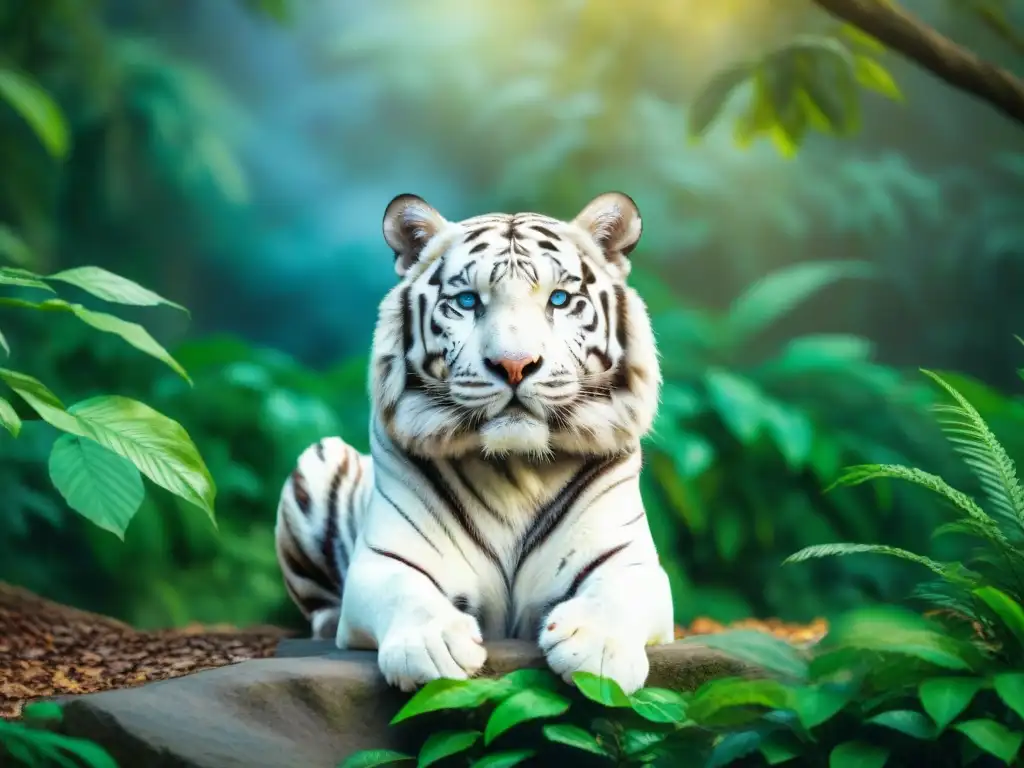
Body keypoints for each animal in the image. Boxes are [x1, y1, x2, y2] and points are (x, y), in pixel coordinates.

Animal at [274, 191, 674, 694]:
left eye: (559, 300)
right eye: (467, 301)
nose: (515, 364)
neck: (517, 467)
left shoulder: (631, 563)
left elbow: (617, 596)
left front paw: (597, 647)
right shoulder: (385, 560)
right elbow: (406, 592)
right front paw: (433, 645)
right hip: (320, 458)